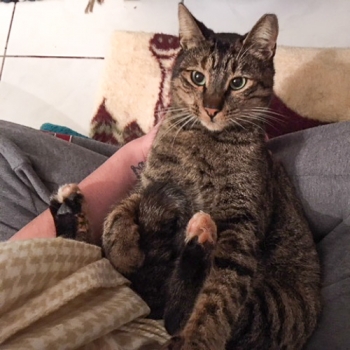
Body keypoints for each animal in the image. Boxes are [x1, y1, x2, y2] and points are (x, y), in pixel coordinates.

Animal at [50, 3, 322, 350]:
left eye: (238, 83)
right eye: (197, 77)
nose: (211, 108)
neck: (203, 140)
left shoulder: (240, 225)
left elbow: (216, 297)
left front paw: (199, 338)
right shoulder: (151, 181)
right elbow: (119, 210)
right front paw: (122, 248)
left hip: (267, 312)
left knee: (173, 304)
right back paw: (71, 212)